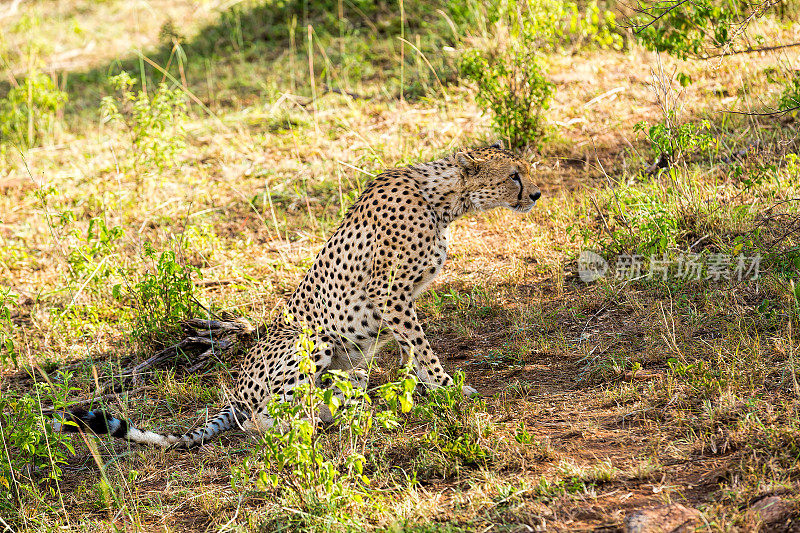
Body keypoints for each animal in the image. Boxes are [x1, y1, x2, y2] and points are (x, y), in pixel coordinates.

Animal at [59, 143, 540, 446]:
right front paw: (448, 388)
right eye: (513, 175)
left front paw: (418, 388)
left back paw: (347, 409)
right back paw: (313, 423)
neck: (441, 200)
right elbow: (422, 349)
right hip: (311, 342)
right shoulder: (390, 295)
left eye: (526, 170)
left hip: (343, 360)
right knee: (260, 422)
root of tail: (235, 391)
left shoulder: (400, 302)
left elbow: (410, 351)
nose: (536, 193)